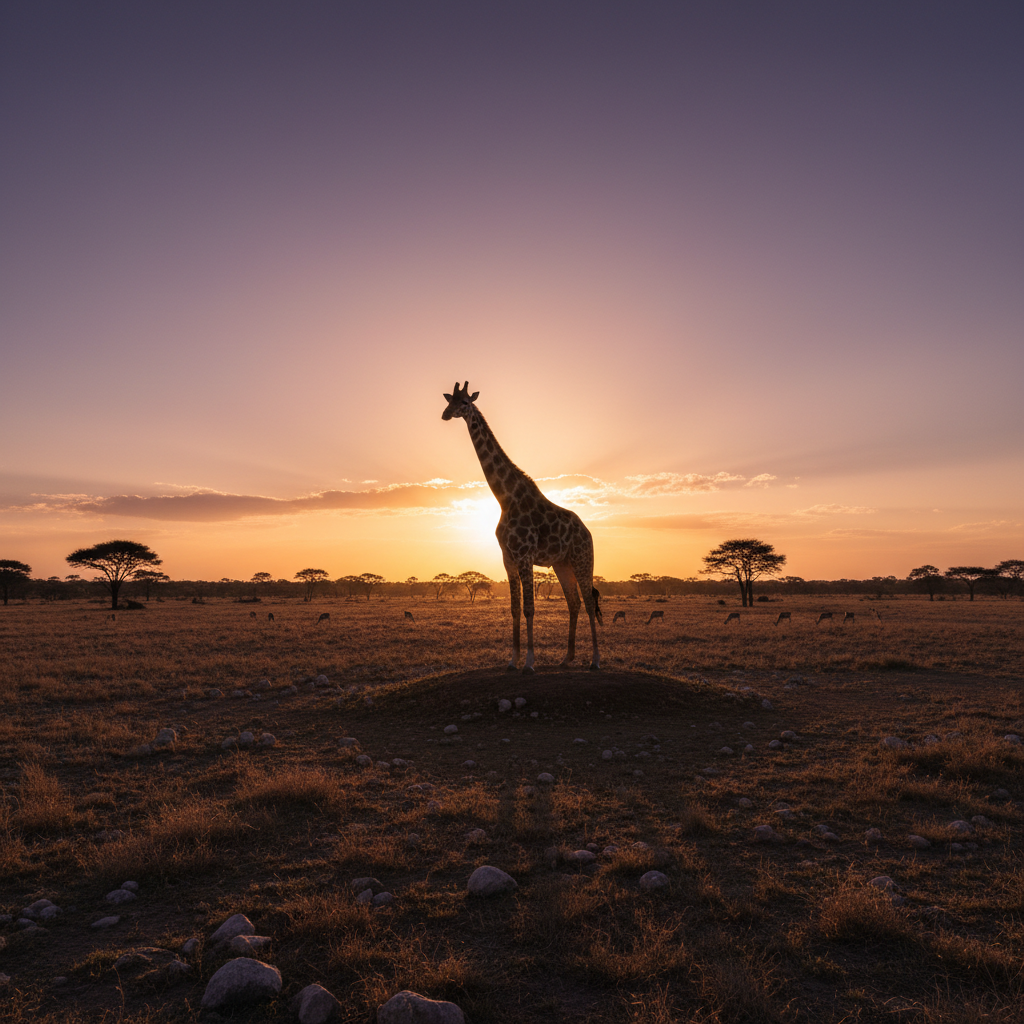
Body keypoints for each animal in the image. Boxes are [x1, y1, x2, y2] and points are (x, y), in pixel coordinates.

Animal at [442, 382, 602, 672]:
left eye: (465, 402)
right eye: (450, 400)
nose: (446, 414)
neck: (506, 498)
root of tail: (588, 533)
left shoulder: (525, 555)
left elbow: (529, 608)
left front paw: (529, 662)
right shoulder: (507, 557)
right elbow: (515, 609)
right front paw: (512, 660)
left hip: (583, 559)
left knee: (587, 601)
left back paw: (595, 660)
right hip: (562, 564)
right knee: (573, 603)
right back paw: (566, 658)